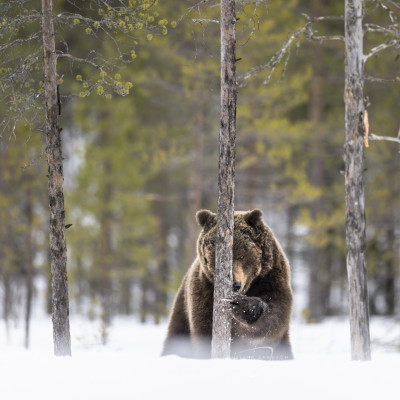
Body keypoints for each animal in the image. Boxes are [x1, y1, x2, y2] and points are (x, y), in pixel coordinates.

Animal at [160, 209, 294, 360]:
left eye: (242, 255)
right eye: (212, 258)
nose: (235, 284)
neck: (249, 287)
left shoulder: (272, 277)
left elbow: (274, 316)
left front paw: (241, 305)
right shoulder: (204, 289)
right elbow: (204, 327)